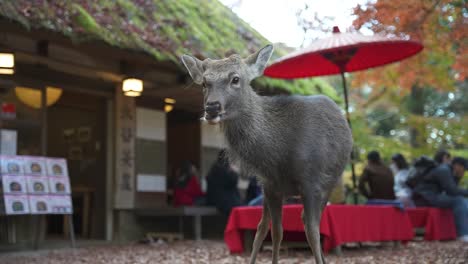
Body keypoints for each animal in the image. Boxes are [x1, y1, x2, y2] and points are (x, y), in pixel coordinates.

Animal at [181, 45, 352, 264]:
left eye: (235, 78)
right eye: (204, 82)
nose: (211, 107)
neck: (277, 156)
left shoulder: (311, 182)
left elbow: (312, 233)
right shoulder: (271, 185)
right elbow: (274, 231)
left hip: (330, 183)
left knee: (310, 222)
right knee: (267, 225)